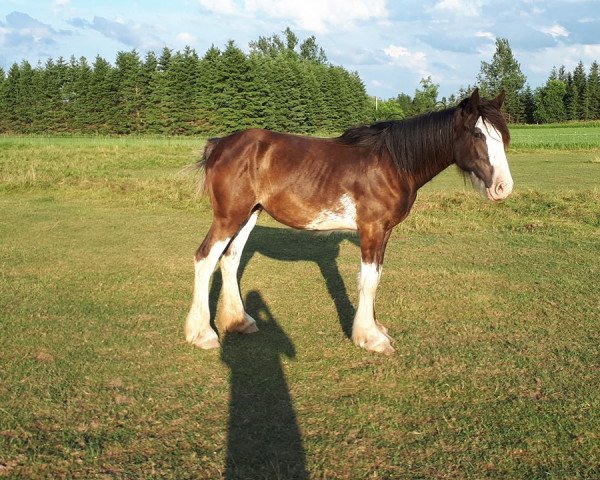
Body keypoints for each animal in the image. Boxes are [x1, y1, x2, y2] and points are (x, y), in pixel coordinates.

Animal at [185, 88, 512, 354]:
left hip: (249, 214)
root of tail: (219, 145)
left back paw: (239, 322)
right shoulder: (372, 229)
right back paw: (202, 334)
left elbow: (376, 276)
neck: (393, 163)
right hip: (229, 216)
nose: (503, 187)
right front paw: (371, 338)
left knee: (230, 259)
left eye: (504, 137)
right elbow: (367, 280)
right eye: (478, 135)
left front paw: (376, 328)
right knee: (205, 258)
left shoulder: (384, 232)